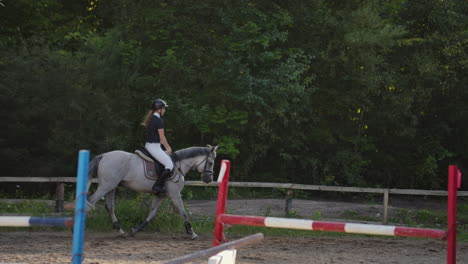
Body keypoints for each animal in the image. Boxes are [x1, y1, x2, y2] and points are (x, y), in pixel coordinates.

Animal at [86, 144, 218, 239]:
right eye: (211, 163)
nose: (209, 179)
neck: (179, 166)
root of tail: (103, 155)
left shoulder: (159, 195)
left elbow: (151, 214)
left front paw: (135, 230)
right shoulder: (175, 195)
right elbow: (183, 213)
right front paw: (192, 233)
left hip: (112, 187)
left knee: (109, 207)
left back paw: (120, 230)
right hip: (106, 186)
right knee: (90, 202)